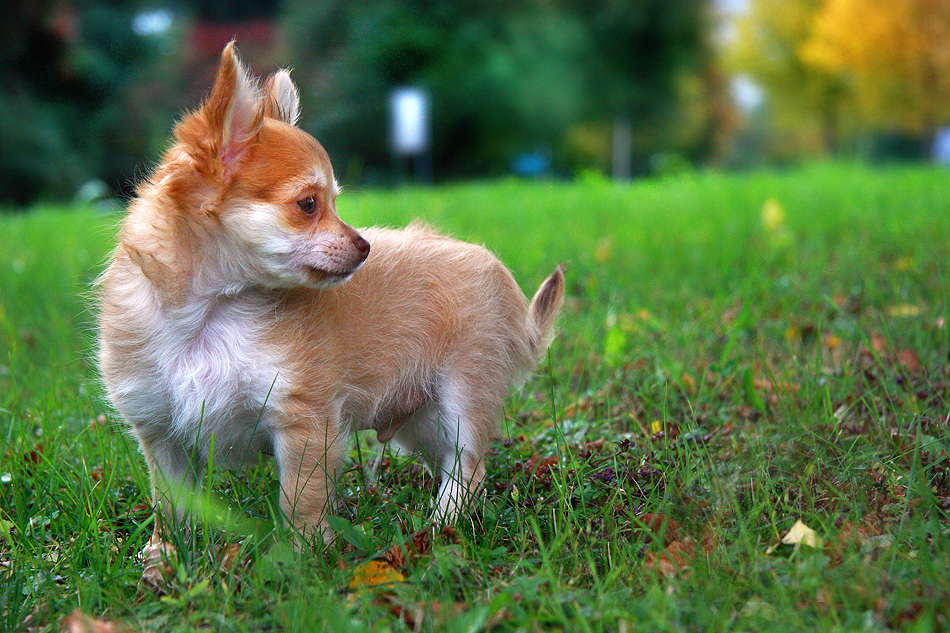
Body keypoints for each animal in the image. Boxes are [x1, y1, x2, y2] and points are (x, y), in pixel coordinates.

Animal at [98, 42, 564, 544]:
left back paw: (442, 523)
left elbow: (299, 500)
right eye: (308, 204)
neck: (210, 312)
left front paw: (305, 553)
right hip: (422, 419)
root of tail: (505, 284)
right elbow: (171, 506)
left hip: (464, 394)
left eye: (335, 203)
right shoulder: (161, 432)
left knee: (469, 470)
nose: (365, 246)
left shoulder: (303, 419)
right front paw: (165, 554)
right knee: (450, 463)